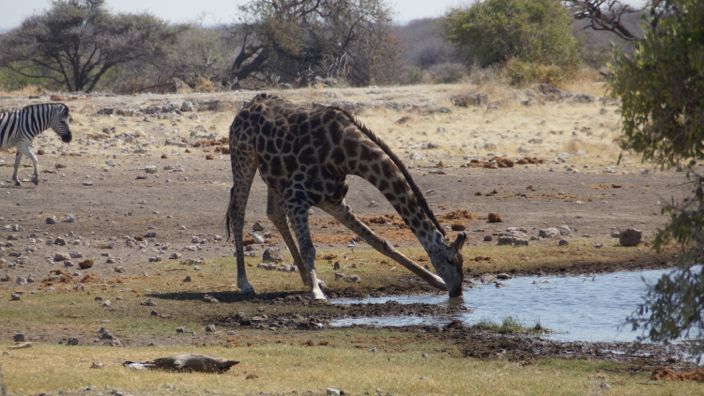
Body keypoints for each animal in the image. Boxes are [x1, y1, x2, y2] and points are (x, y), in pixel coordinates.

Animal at [227, 94, 468, 300]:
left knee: (274, 213)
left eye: (462, 261)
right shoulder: (297, 198)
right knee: (238, 212)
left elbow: (379, 241)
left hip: (275, 178)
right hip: (244, 157)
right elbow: (309, 248)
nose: (457, 291)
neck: (345, 155)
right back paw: (245, 283)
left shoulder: (333, 201)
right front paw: (316, 293)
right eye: (450, 260)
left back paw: (308, 278)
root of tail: (244, 108)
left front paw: (434, 279)